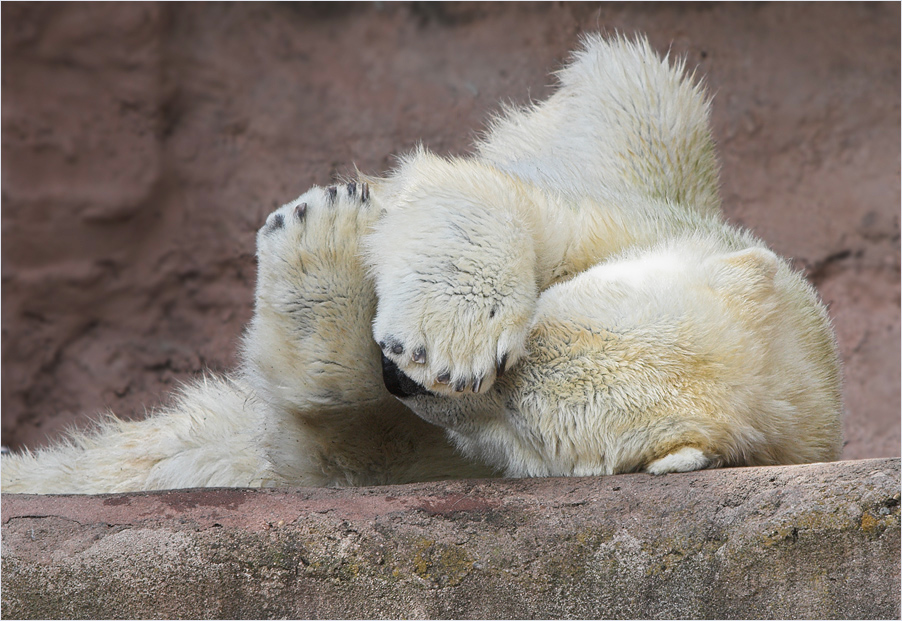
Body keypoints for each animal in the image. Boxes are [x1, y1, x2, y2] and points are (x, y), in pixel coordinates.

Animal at [1, 35, 848, 494]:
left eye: (520, 418)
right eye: (537, 315)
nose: (397, 376)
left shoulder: (452, 457)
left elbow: (342, 457)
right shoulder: (636, 215)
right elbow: (475, 191)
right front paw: (442, 329)